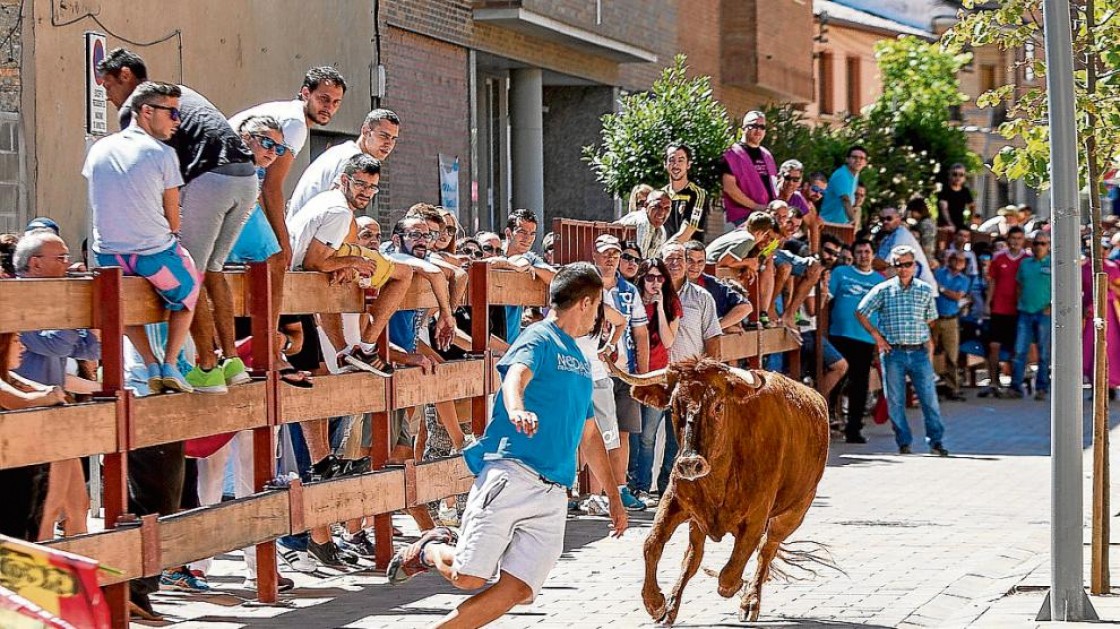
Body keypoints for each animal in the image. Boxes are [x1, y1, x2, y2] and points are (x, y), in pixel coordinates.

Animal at [609, 355, 828, 617]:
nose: (690, 463)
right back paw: (671, 606)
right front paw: (654, 602)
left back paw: (750, 600)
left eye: (718, 406)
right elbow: (652, 543)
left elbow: (733, 568)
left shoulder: (757, 517)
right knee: (693, 556)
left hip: (793, 513)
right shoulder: (674, 501)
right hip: (698, 523)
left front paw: (735, 589)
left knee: (767, 548)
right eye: (672, 408)